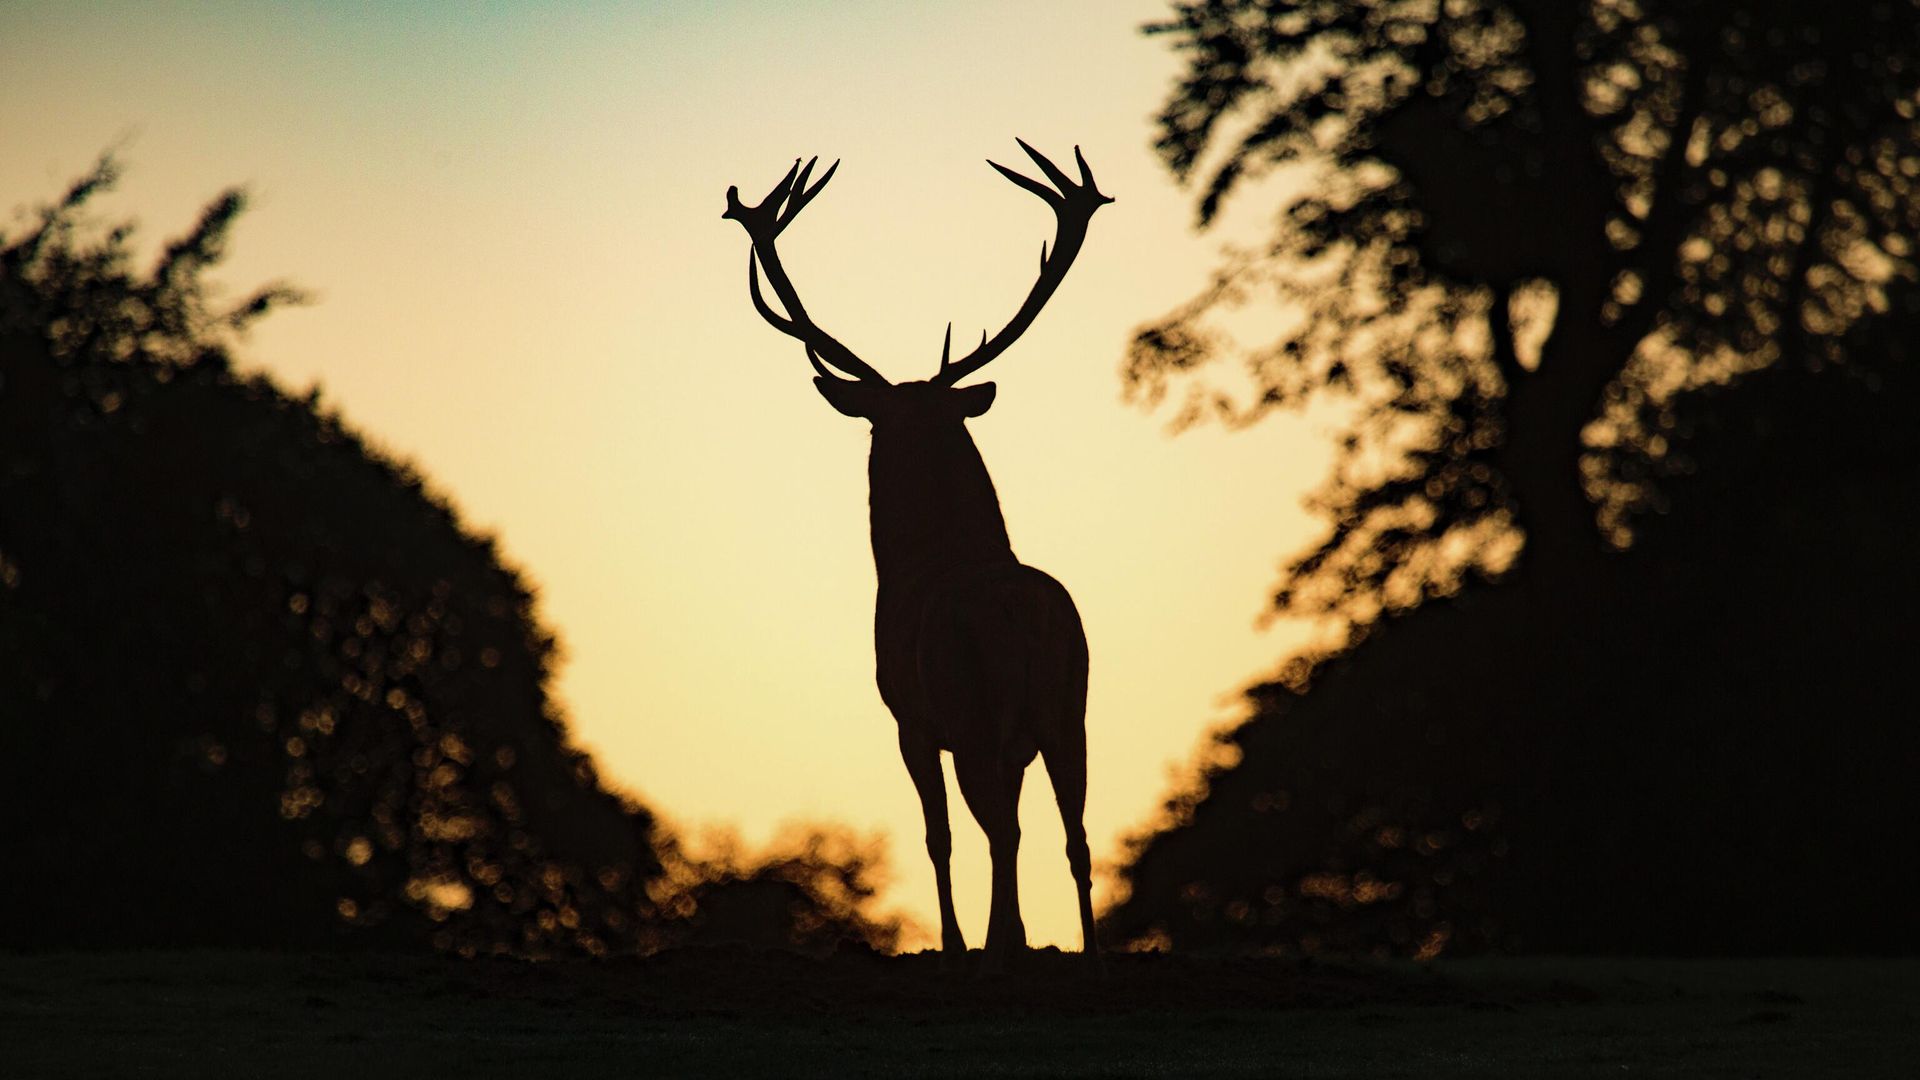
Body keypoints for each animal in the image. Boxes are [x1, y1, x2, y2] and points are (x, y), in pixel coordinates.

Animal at [723, 141, 1111, 968]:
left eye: (877, 423)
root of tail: (1025, 617)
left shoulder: (908, 717)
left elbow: (937, 837)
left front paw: (959, 942)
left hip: (977, 713)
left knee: (999, 830)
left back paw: (1001, 943)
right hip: (1072, 707)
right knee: (1075, 835)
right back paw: (1085, 947)